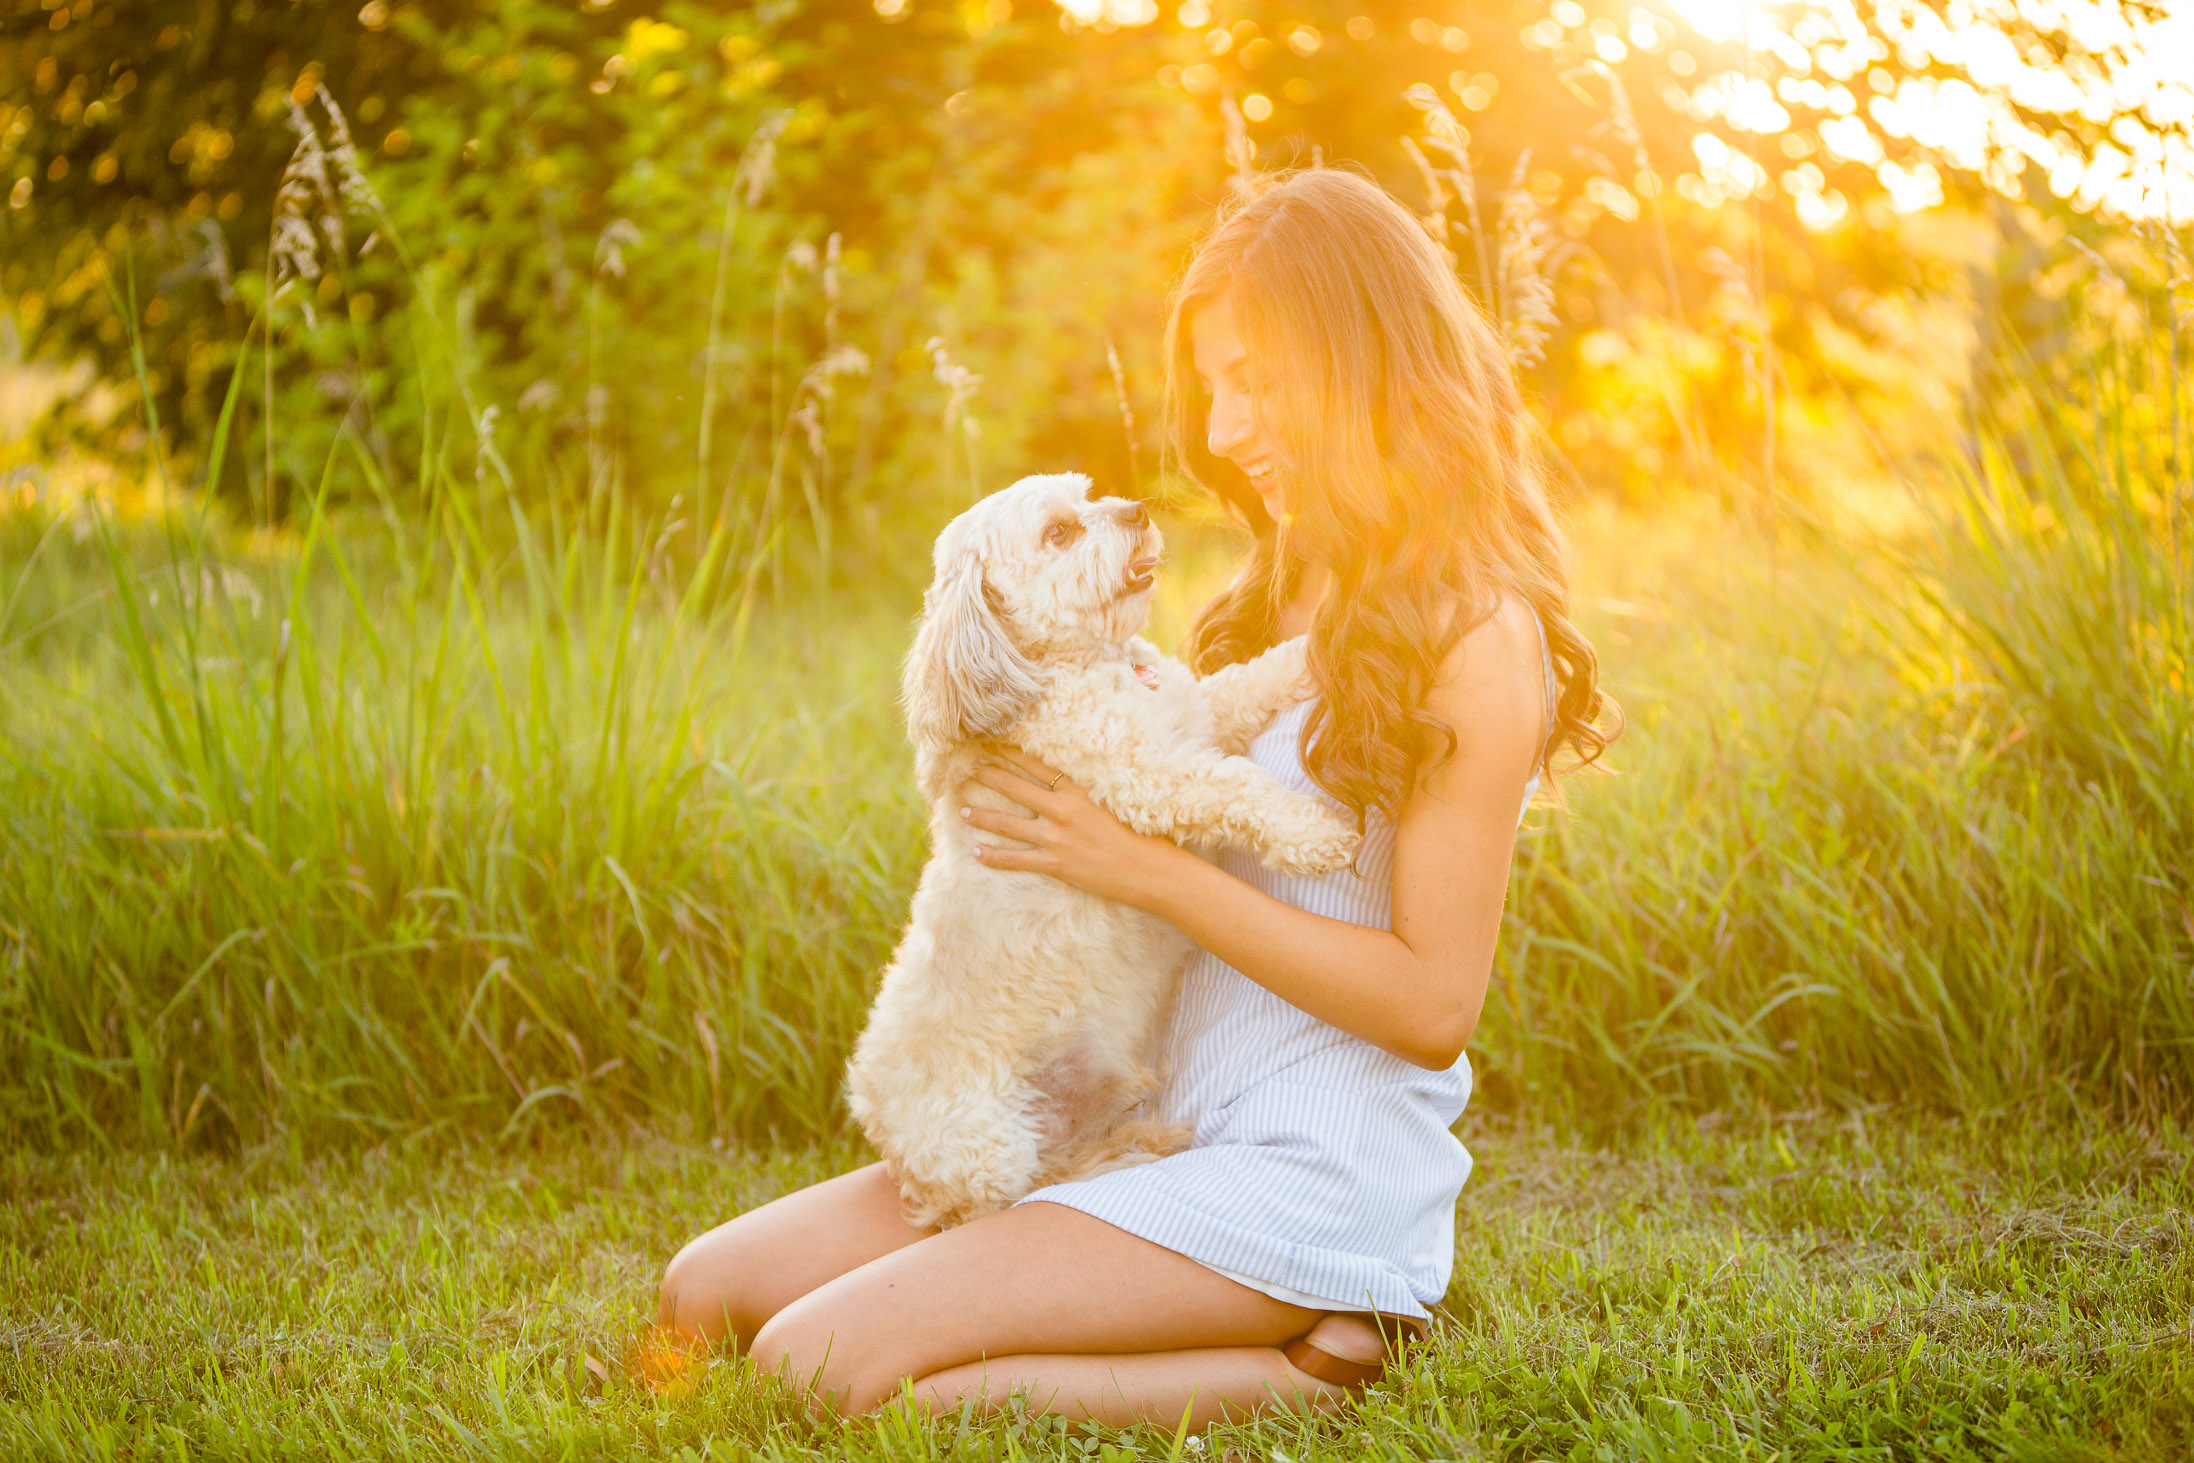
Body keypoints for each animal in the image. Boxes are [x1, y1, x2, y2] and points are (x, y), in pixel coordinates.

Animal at [846, 469, 1360, 1228]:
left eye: (1089, 495)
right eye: (1059, 532)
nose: (1136, 509)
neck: (1088, 665)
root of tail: (896, 1154)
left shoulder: (1201, 717)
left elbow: (1250, 680)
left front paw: (1323, 646)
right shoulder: (1150, 778)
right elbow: (1236, 783)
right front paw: (1314, 832)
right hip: (985, 1148)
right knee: (1013, 1194)